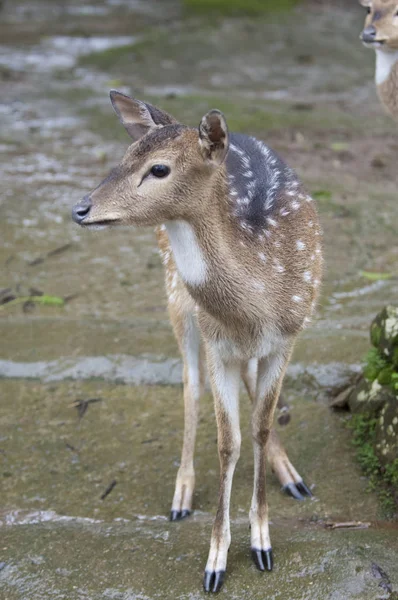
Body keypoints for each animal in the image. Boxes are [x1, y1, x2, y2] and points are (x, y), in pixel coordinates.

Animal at [72, 91, 324, 592]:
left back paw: (291, 476)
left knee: (247, 394)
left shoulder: (288, 336)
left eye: (159, 168)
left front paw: (262, 542)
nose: (81, 209)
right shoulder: (216, 341)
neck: (256, 303)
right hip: (177, 298)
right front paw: (217, 561)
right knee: (190, 385)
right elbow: (228, 442)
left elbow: (260, 426)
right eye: (125, 154)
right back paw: (182, 495)